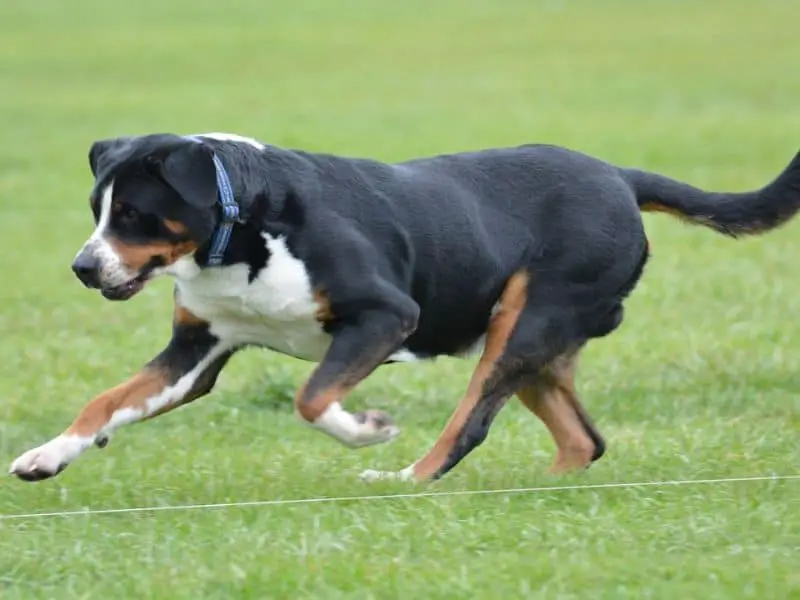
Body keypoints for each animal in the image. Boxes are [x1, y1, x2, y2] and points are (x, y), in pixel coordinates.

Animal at [10, 134, 800, 486]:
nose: (84, 268)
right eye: (97, 209)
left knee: (470, 422)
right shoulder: (195, 352)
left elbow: (312, 395)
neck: (239, 234)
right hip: (534, 337)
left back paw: (405, 477)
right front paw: (47, 455)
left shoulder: (384, 316)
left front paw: (368, 430)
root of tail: (617, 175)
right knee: (583, 440)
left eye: (135, 214)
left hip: (525, 322)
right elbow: (107, 401)